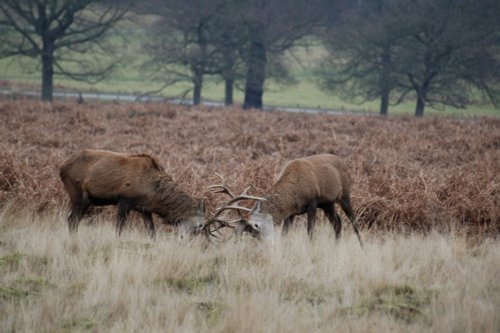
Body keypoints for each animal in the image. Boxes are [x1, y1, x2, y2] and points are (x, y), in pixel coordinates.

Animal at [59, 149, 206, 237]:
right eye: (200, 225)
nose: (187, 241)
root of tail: (61, 168)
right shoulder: (124, 199)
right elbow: (119, 228)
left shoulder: (145, 209)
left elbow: (152, 232)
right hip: (77, 194)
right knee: (72, 219)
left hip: (87, 201)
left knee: (74, 220)